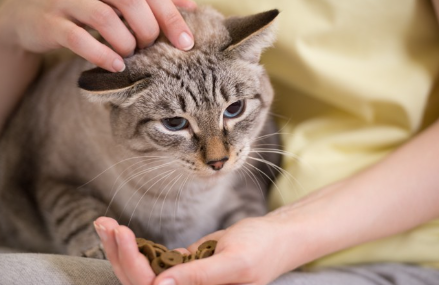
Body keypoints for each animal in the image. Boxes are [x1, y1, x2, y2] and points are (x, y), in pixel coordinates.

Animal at [0, 6, 282, 258]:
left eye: (234, 109)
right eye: (174, 124)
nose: (218, 162)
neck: (189, 194)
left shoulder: (245, 182)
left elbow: (245, 215)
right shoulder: (49, 177)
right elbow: (77, 210)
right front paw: (97, 248)